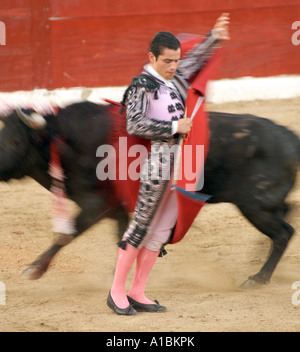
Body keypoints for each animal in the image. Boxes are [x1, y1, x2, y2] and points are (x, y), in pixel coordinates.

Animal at [0, 100, 298, 288]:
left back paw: (258, 278)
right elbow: (121, 237)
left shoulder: (96, 204)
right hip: (266, 205)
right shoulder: (116, 208)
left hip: (256, 207)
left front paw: (33, 270)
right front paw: (117, 275)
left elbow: (66, 233)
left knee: (283, 233)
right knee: (286, 215)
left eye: (15, 140)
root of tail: (288, 136)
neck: (65, 141)